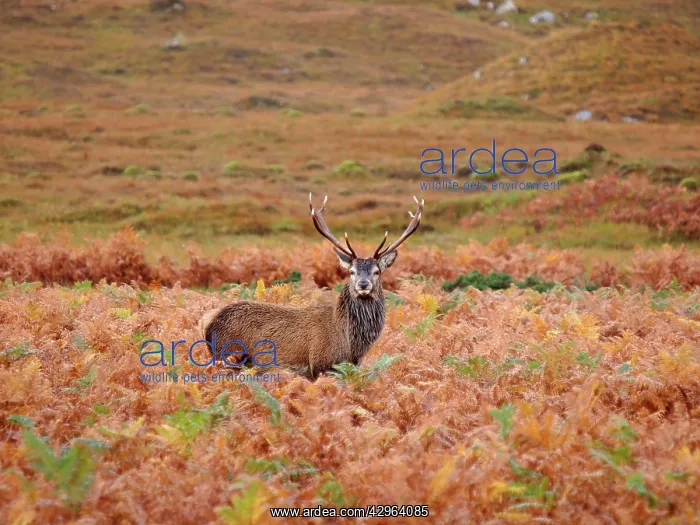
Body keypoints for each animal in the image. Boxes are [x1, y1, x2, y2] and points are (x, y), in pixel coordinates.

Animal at [198, 193, 424, 380]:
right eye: (351, 271)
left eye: (377, 271)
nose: (363, 284)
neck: (349, 344)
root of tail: (206, 322)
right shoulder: (320, 366)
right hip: (226, 355)